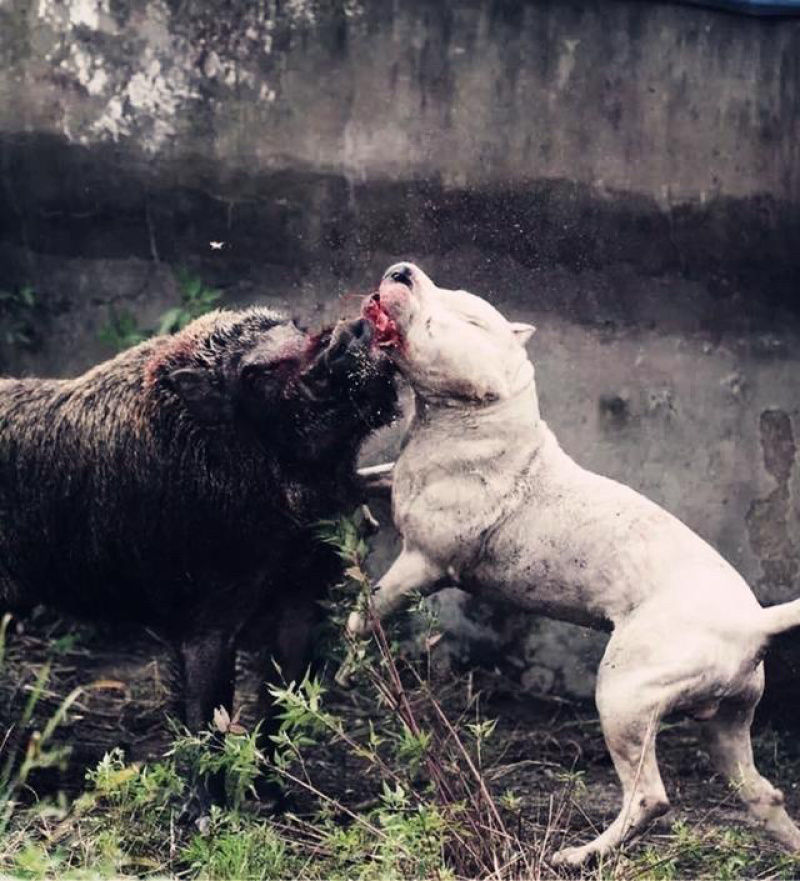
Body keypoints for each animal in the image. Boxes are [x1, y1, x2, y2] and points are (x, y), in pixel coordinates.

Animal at [348, 262, 800, 868]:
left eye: (467, 316)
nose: (402, 270)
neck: (481, 415)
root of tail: (754, 622)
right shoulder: (394, 481)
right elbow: (363, 481)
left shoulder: (423, 563)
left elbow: (369, 608)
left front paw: (347, 659)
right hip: (730, 718)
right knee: (760, 792)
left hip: (626, 693)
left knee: (649, 797)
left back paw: (577, 855)